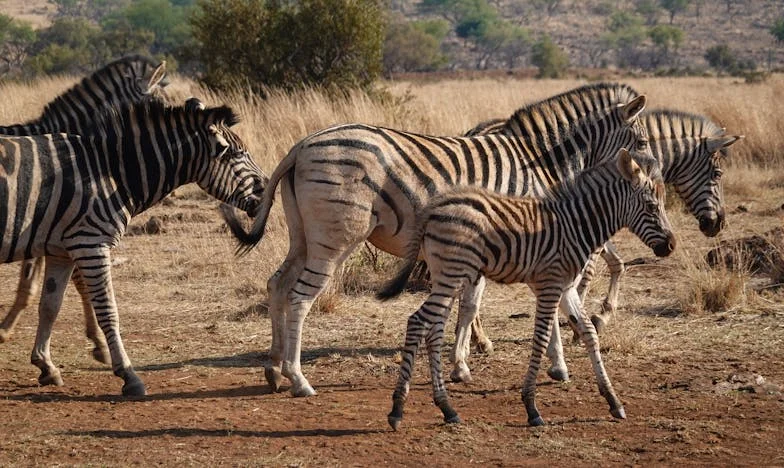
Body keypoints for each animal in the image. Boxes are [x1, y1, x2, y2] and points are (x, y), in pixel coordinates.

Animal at [0, 98, 266, 394]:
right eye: (238, 154)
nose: (267, 188)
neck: (112, 171)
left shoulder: (61, 250)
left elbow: (50, 306)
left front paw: (46, 365)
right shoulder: (89, 243)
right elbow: (108, 310)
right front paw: (128, 374)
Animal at [222, 82, 656, 396]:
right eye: (642, 142)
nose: (655, 177)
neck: (540, 163)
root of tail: (301, 145)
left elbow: (468, 304)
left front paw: (462, 363)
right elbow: (499, 303)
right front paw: (554, 363)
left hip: (303, 236)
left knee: (278, 285)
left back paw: (273, 369)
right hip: (335, 238)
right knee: (299, 297)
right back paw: (298, 379)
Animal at [376, 149, 676, 428]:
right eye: (651, 207)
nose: (671, 245)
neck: (576, 224)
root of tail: (433, 208)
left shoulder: (566, 288)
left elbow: (589, 333)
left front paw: (613, 401)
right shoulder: (550, 285)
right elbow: (541, 338)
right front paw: (532, 407)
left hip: (447, 277)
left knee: (433, 330)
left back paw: (447, 408)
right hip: (452, 274)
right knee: (418, 321)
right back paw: (397, 409)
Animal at [460, 109, 740, 376]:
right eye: (718, 174)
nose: (718, 224)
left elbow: (616, 263)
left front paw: (599, 313)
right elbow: (589, 271)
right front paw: (578, 322)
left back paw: (476, 339)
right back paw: (478, 340)